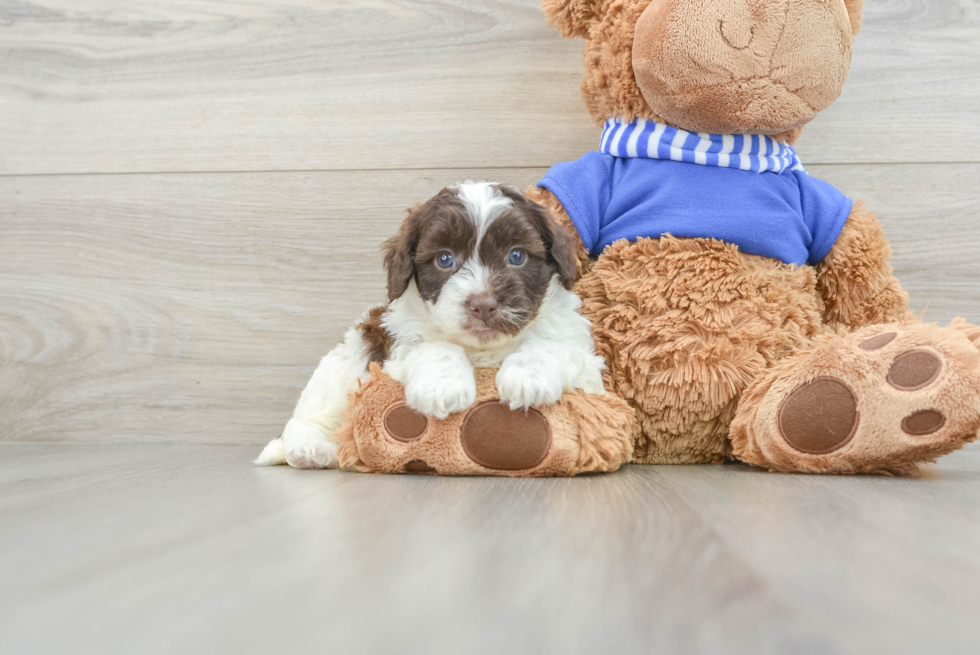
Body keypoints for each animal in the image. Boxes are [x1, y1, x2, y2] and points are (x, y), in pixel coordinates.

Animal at [253, 182, 604, 468]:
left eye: (516, 256)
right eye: (445, 259)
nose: (483, 304)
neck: (483, 349)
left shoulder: (587, 366)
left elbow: (551, 346)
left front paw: (528, 377)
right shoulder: (396, 347)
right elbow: (434, 347)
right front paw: (443, 385)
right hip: (349, 359)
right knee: (313, 412)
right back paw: (311, 449)